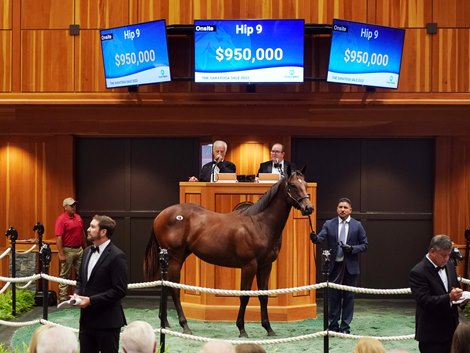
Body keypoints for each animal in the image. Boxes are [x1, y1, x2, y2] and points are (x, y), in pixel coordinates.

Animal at [141, 169, 314, 336]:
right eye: (292, 185)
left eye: (306, 184)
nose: (309, 208)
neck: (259, 224)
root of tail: (160, 215)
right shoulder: (249, 266)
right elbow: (244, 296)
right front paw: (242, 329)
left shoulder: (265, 266)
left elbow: (263, 296)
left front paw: (268, 328)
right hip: (175, 257)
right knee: (174, 289)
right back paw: (185, 326)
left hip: (175, 257)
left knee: (166, 285)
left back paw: (165, 322)